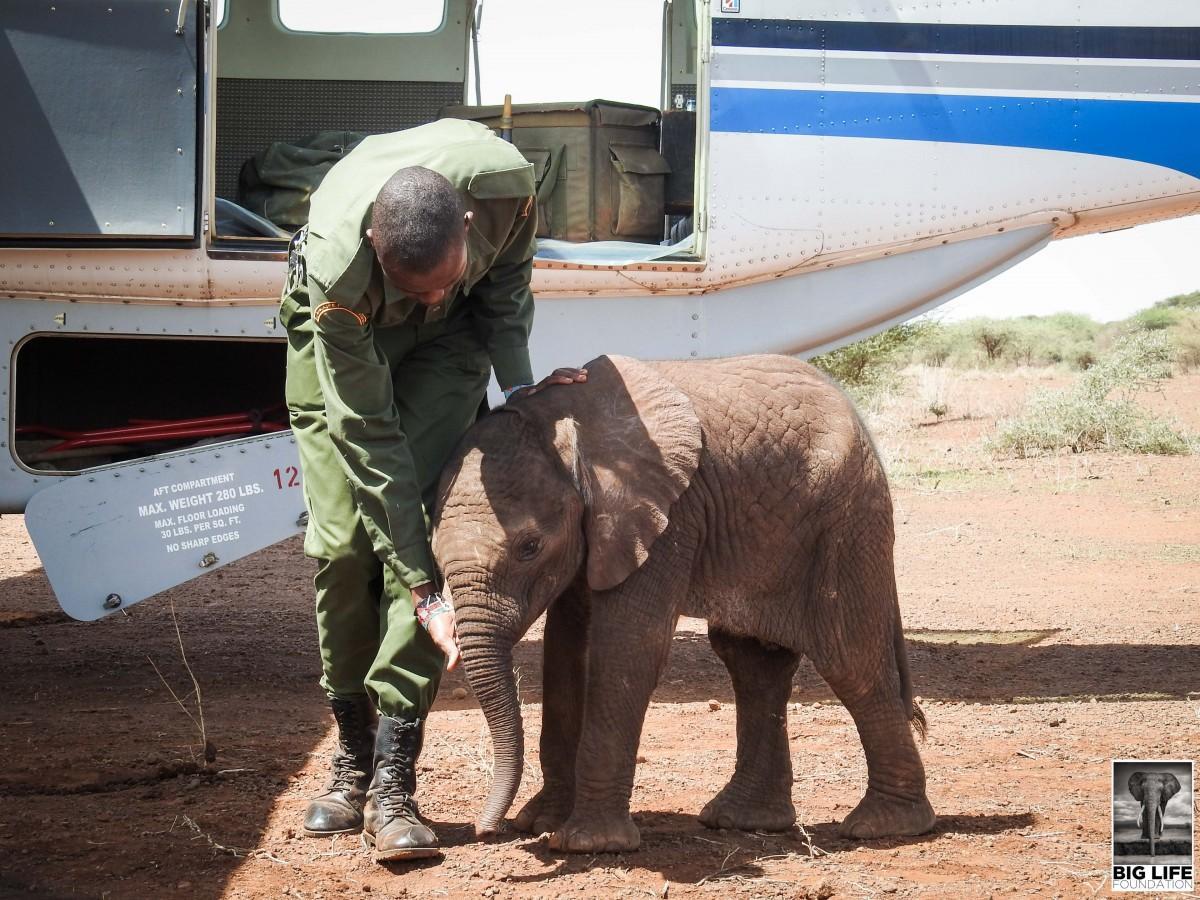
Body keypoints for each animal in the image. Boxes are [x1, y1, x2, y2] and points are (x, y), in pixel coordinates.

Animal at [434, 352, 936, 854]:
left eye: (530, 547)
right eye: (435, 557)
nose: (485, 830)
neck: (556, 420)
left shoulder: (668, 514)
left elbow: (627, 647)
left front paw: (587, 843)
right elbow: (565, 649)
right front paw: (539, 822)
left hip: (845, 521)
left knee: (850, 659)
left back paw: (883, 826)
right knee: (753, 663)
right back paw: (741, 820)